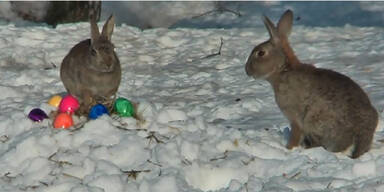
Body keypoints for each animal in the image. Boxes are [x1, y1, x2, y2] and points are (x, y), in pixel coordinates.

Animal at [246, 9, 378, 158]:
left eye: (261, 53)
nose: (247, 70)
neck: (283, 70)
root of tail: (359, 136)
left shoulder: (295, 118)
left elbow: (296, 134)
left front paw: (289, 148)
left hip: (316, 119)